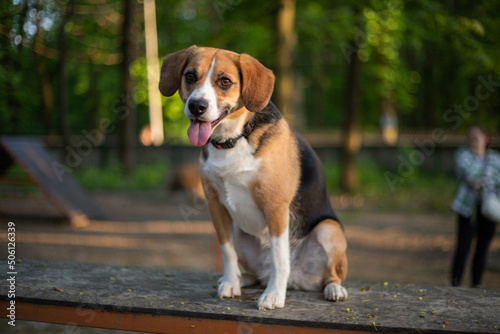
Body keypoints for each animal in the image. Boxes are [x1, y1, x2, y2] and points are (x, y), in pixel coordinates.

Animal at [160, 45, 348, 310]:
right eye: (189, 76)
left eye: (225, 81)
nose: (197, 106)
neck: (234, 138)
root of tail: (297, 281)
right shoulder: (215, 205)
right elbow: (227, 252)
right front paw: (231, 283)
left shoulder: (276, 206)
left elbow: (279, 257)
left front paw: (274, 295)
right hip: (239, 229)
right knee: (253, 273)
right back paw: (241, 280)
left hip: (329, 229)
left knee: (330, 275)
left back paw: (333, 289)